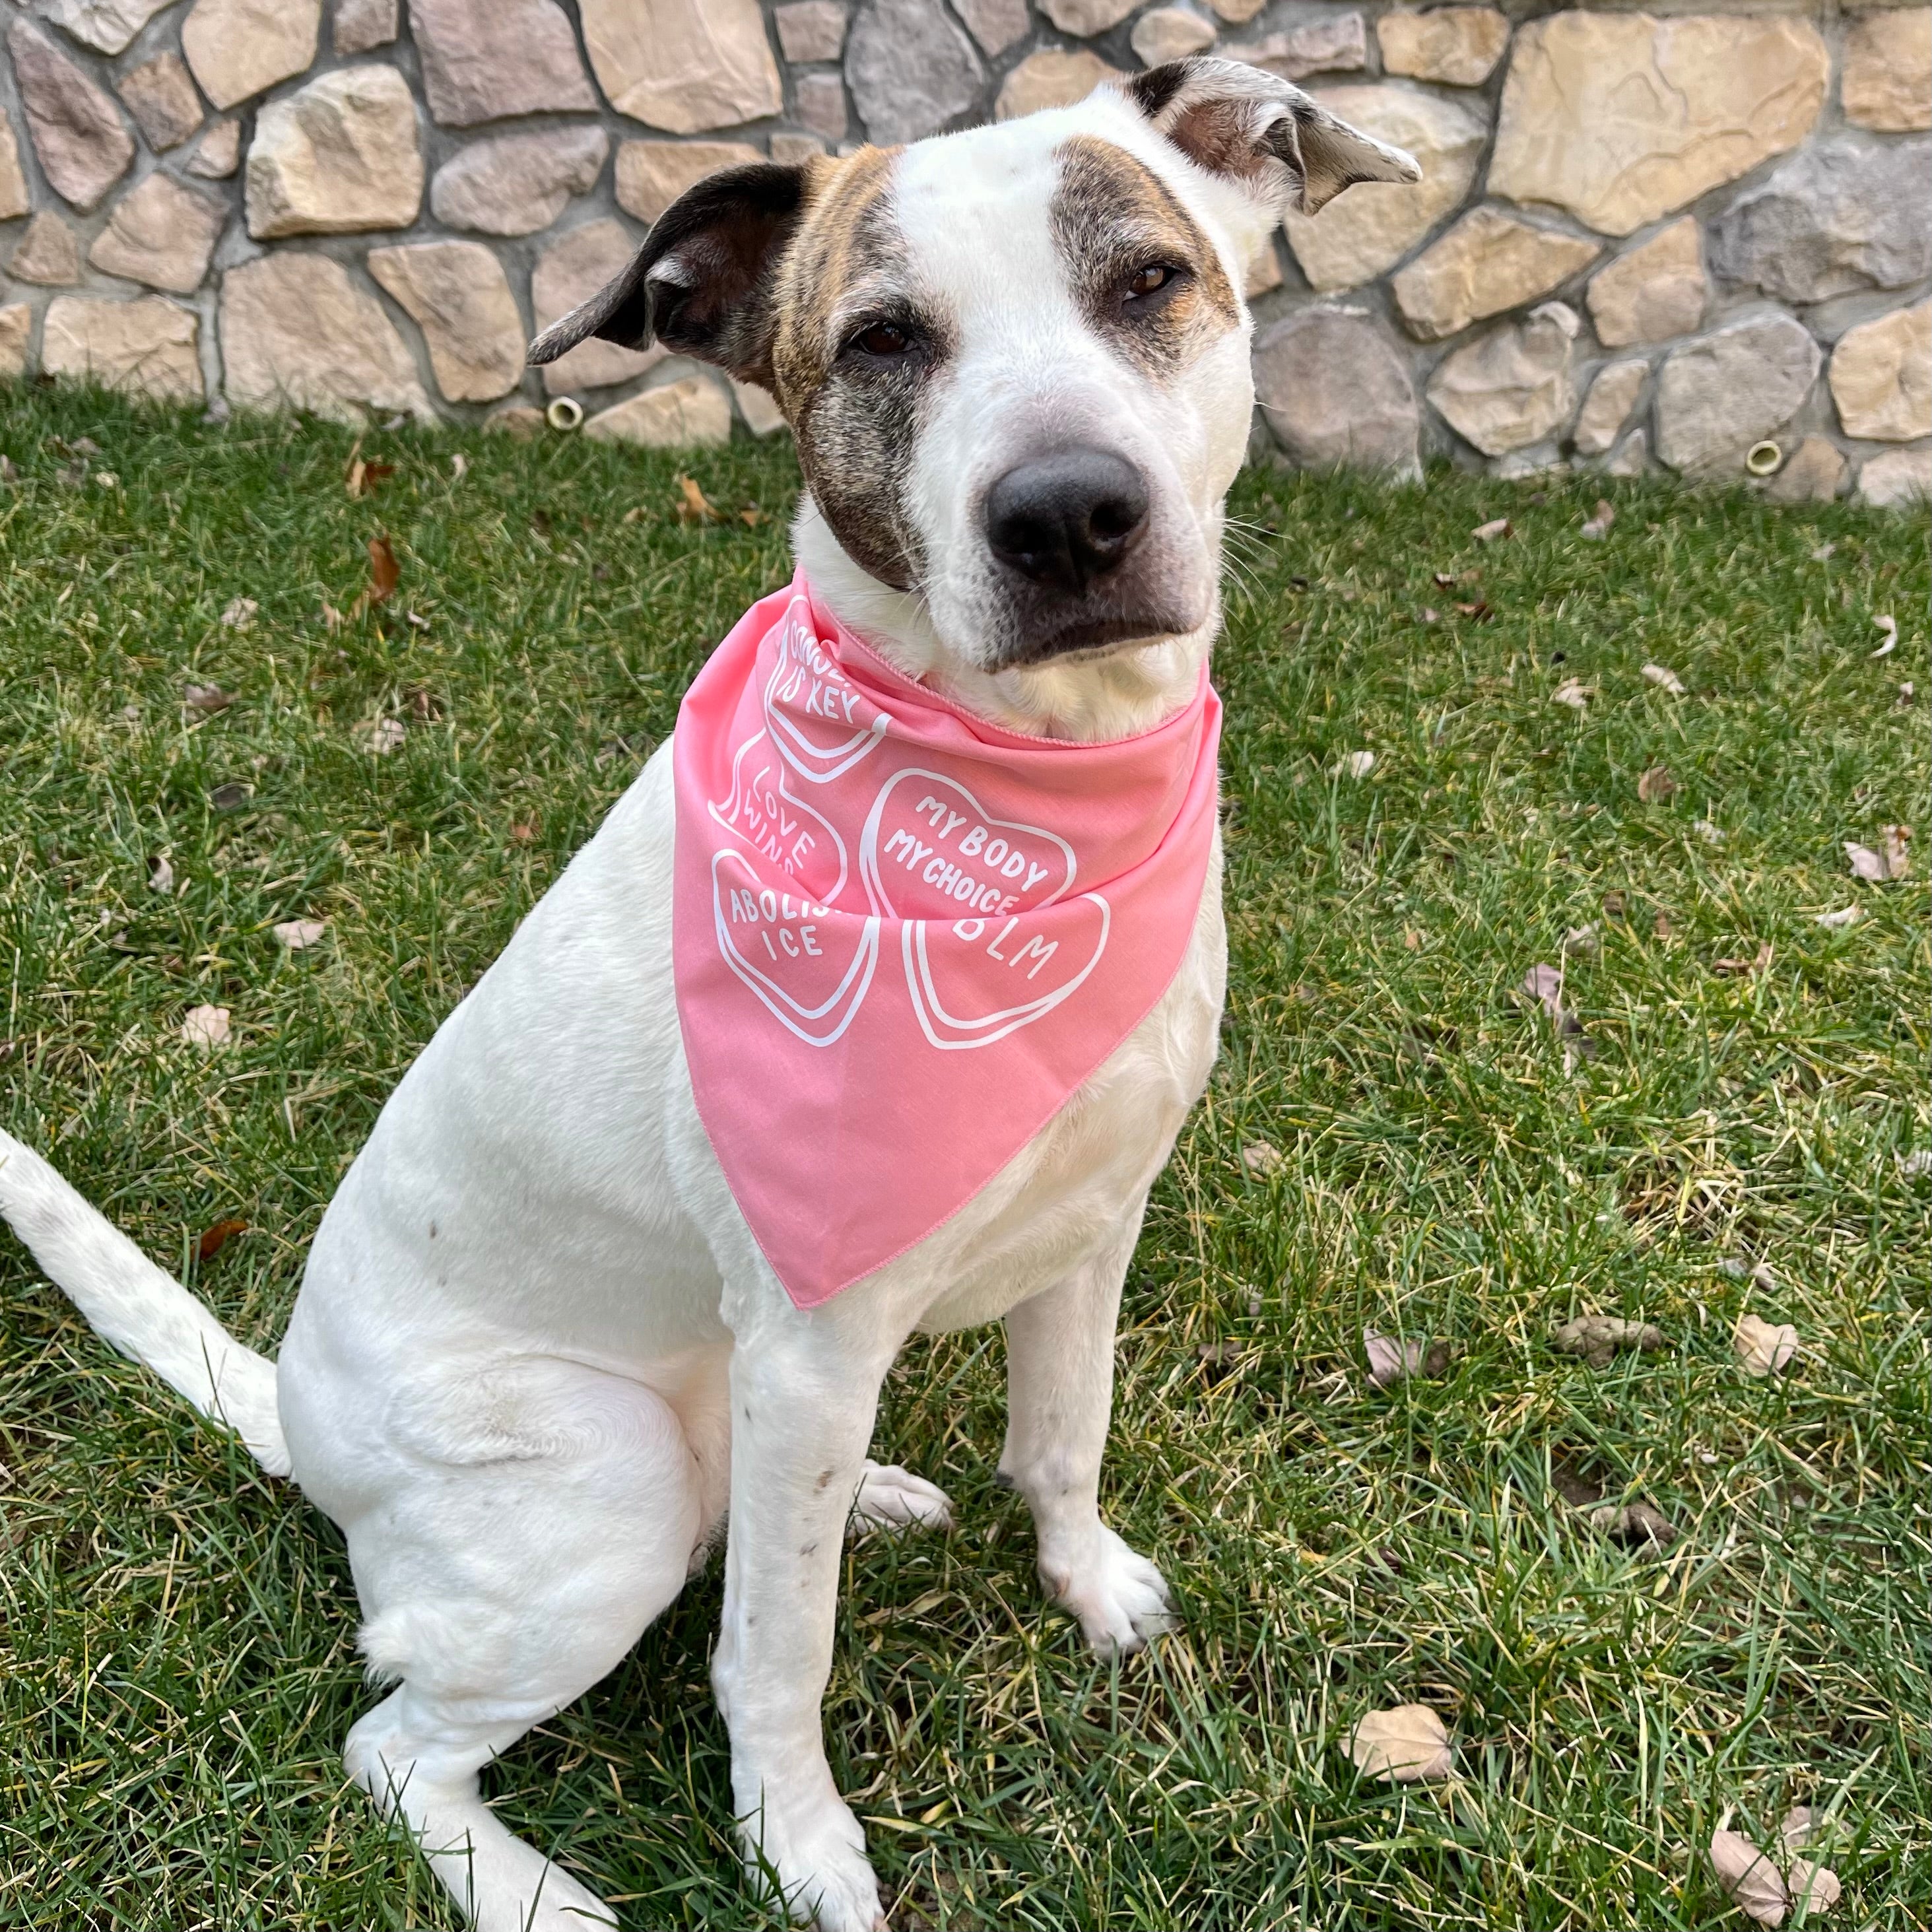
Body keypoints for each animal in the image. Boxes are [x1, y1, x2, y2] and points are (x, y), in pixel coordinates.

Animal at [3, 60, 1422, 1932]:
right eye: (882, 339)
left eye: (1147, 281)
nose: (1066, 514)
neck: (1033, 800)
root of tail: (298, 1419)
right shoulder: (811, 1333)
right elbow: (775, 1657)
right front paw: (796, 1845)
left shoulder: (1089, 1223)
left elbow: (1062, 1440)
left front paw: (1088, 1584)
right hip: (602, 1482)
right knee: (395, 1741)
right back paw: (537, 1890)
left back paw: (872, 1495)